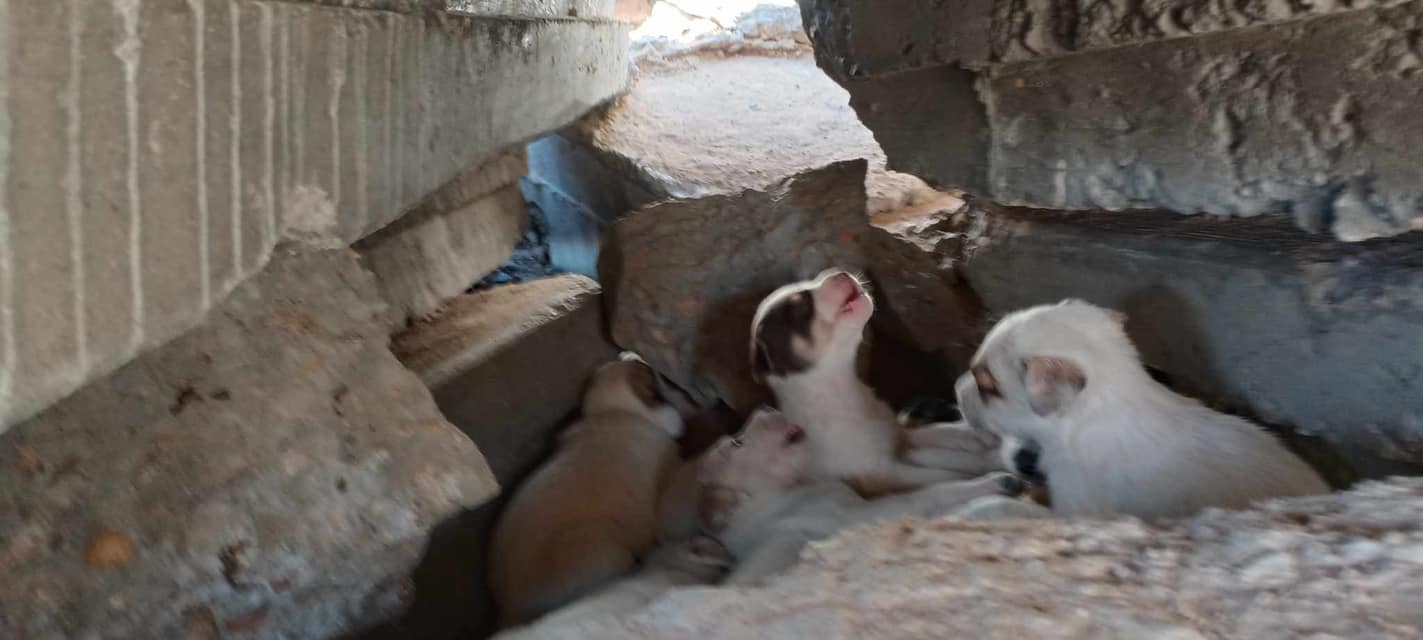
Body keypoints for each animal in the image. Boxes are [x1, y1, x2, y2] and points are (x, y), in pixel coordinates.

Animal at [751, 268, 996, 494]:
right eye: (800, 307)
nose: (839, 272)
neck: (844, 391)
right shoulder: (885, 473)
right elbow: (946, 475)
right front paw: (985, 476)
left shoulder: (899, 436)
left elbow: (945, 434)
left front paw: (977, 440)